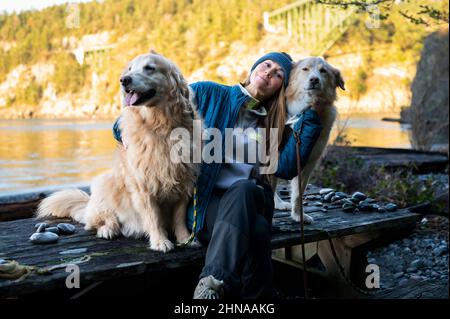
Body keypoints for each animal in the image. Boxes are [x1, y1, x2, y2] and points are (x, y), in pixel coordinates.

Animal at [37, 52, 200, 252]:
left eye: (149, 68)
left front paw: (186, 239)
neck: (160, 124)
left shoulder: (185, 181)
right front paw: (160, 241)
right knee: (100, 221)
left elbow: (179, 217)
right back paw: (108, 229)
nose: (124, 80)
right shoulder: (142, 184)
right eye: (130, 69)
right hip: (105, 183)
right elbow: (153, 217)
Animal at [274, 56, 344, 224]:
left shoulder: (308, 160)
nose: (314, 80)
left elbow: (299, 191)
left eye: (323, 71)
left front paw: (298, 216)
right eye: (305, 69)